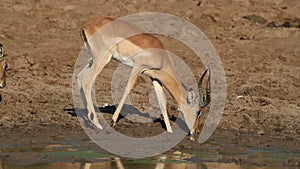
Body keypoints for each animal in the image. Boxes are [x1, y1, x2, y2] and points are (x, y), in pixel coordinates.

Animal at [77, 16, 211, 136]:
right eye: (198, 112)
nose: (196, 131)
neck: (162, 57)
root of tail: (87, 25)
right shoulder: (138, 67)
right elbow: (128, 88)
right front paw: (114, 120)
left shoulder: (155, 77)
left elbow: (162, 102)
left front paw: (169, 131)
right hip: (102, 59)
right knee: (87, 82)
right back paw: (96, 123)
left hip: (93, 60)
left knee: (79, 78)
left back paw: (88, 120)